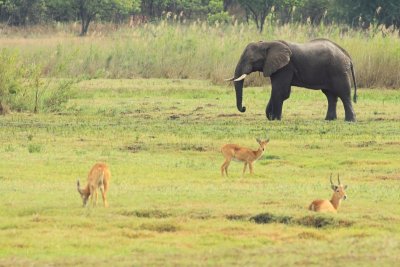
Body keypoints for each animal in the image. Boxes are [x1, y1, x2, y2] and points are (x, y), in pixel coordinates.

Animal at [227, 38, 358, 122]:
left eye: (251, 59)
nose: (244, 108)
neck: (267, 43)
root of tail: (348, 56)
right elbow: (278, 91)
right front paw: (272, 117)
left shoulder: (286, 67)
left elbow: (280, 91)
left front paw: (276, 119)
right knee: (330, 95)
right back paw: (329, 120)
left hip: (338, 70)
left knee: (344, 94)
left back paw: (350, 121)